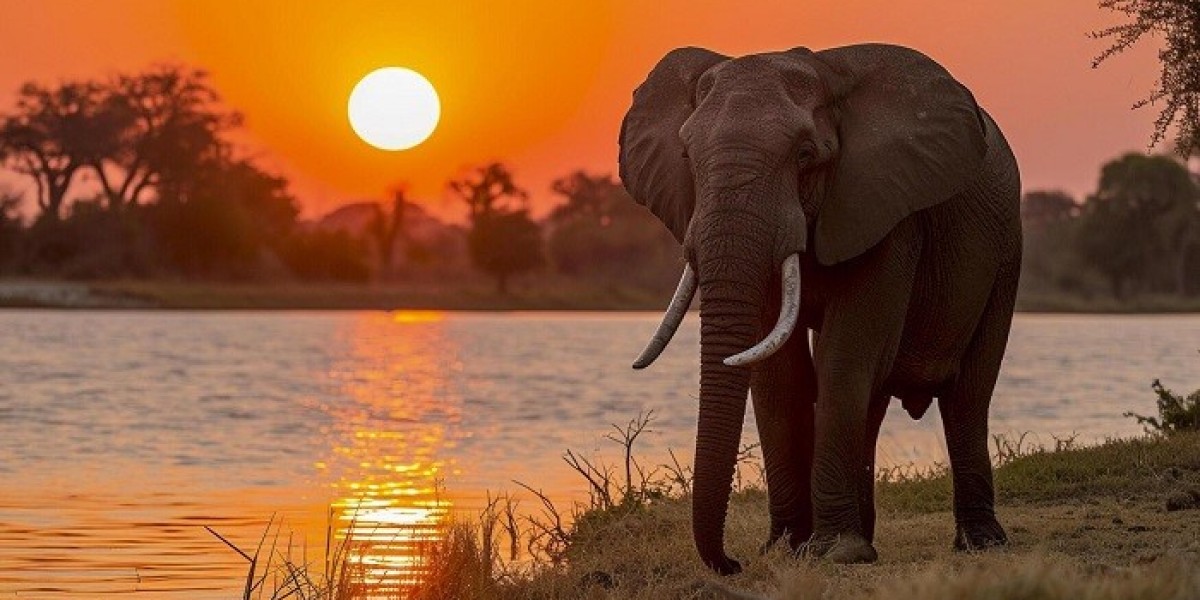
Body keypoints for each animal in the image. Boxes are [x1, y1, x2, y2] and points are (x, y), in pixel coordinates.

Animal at [618, 44, 1021, 574]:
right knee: (876, 397)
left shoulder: (883, 208)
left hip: (1007, 253)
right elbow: (779, 373)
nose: (733, 564)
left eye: (805, 156)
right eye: (687, 156)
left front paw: (834, 554)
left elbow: (843, 356)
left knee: (968, 395)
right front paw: (788, 549)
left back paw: (980, 543)